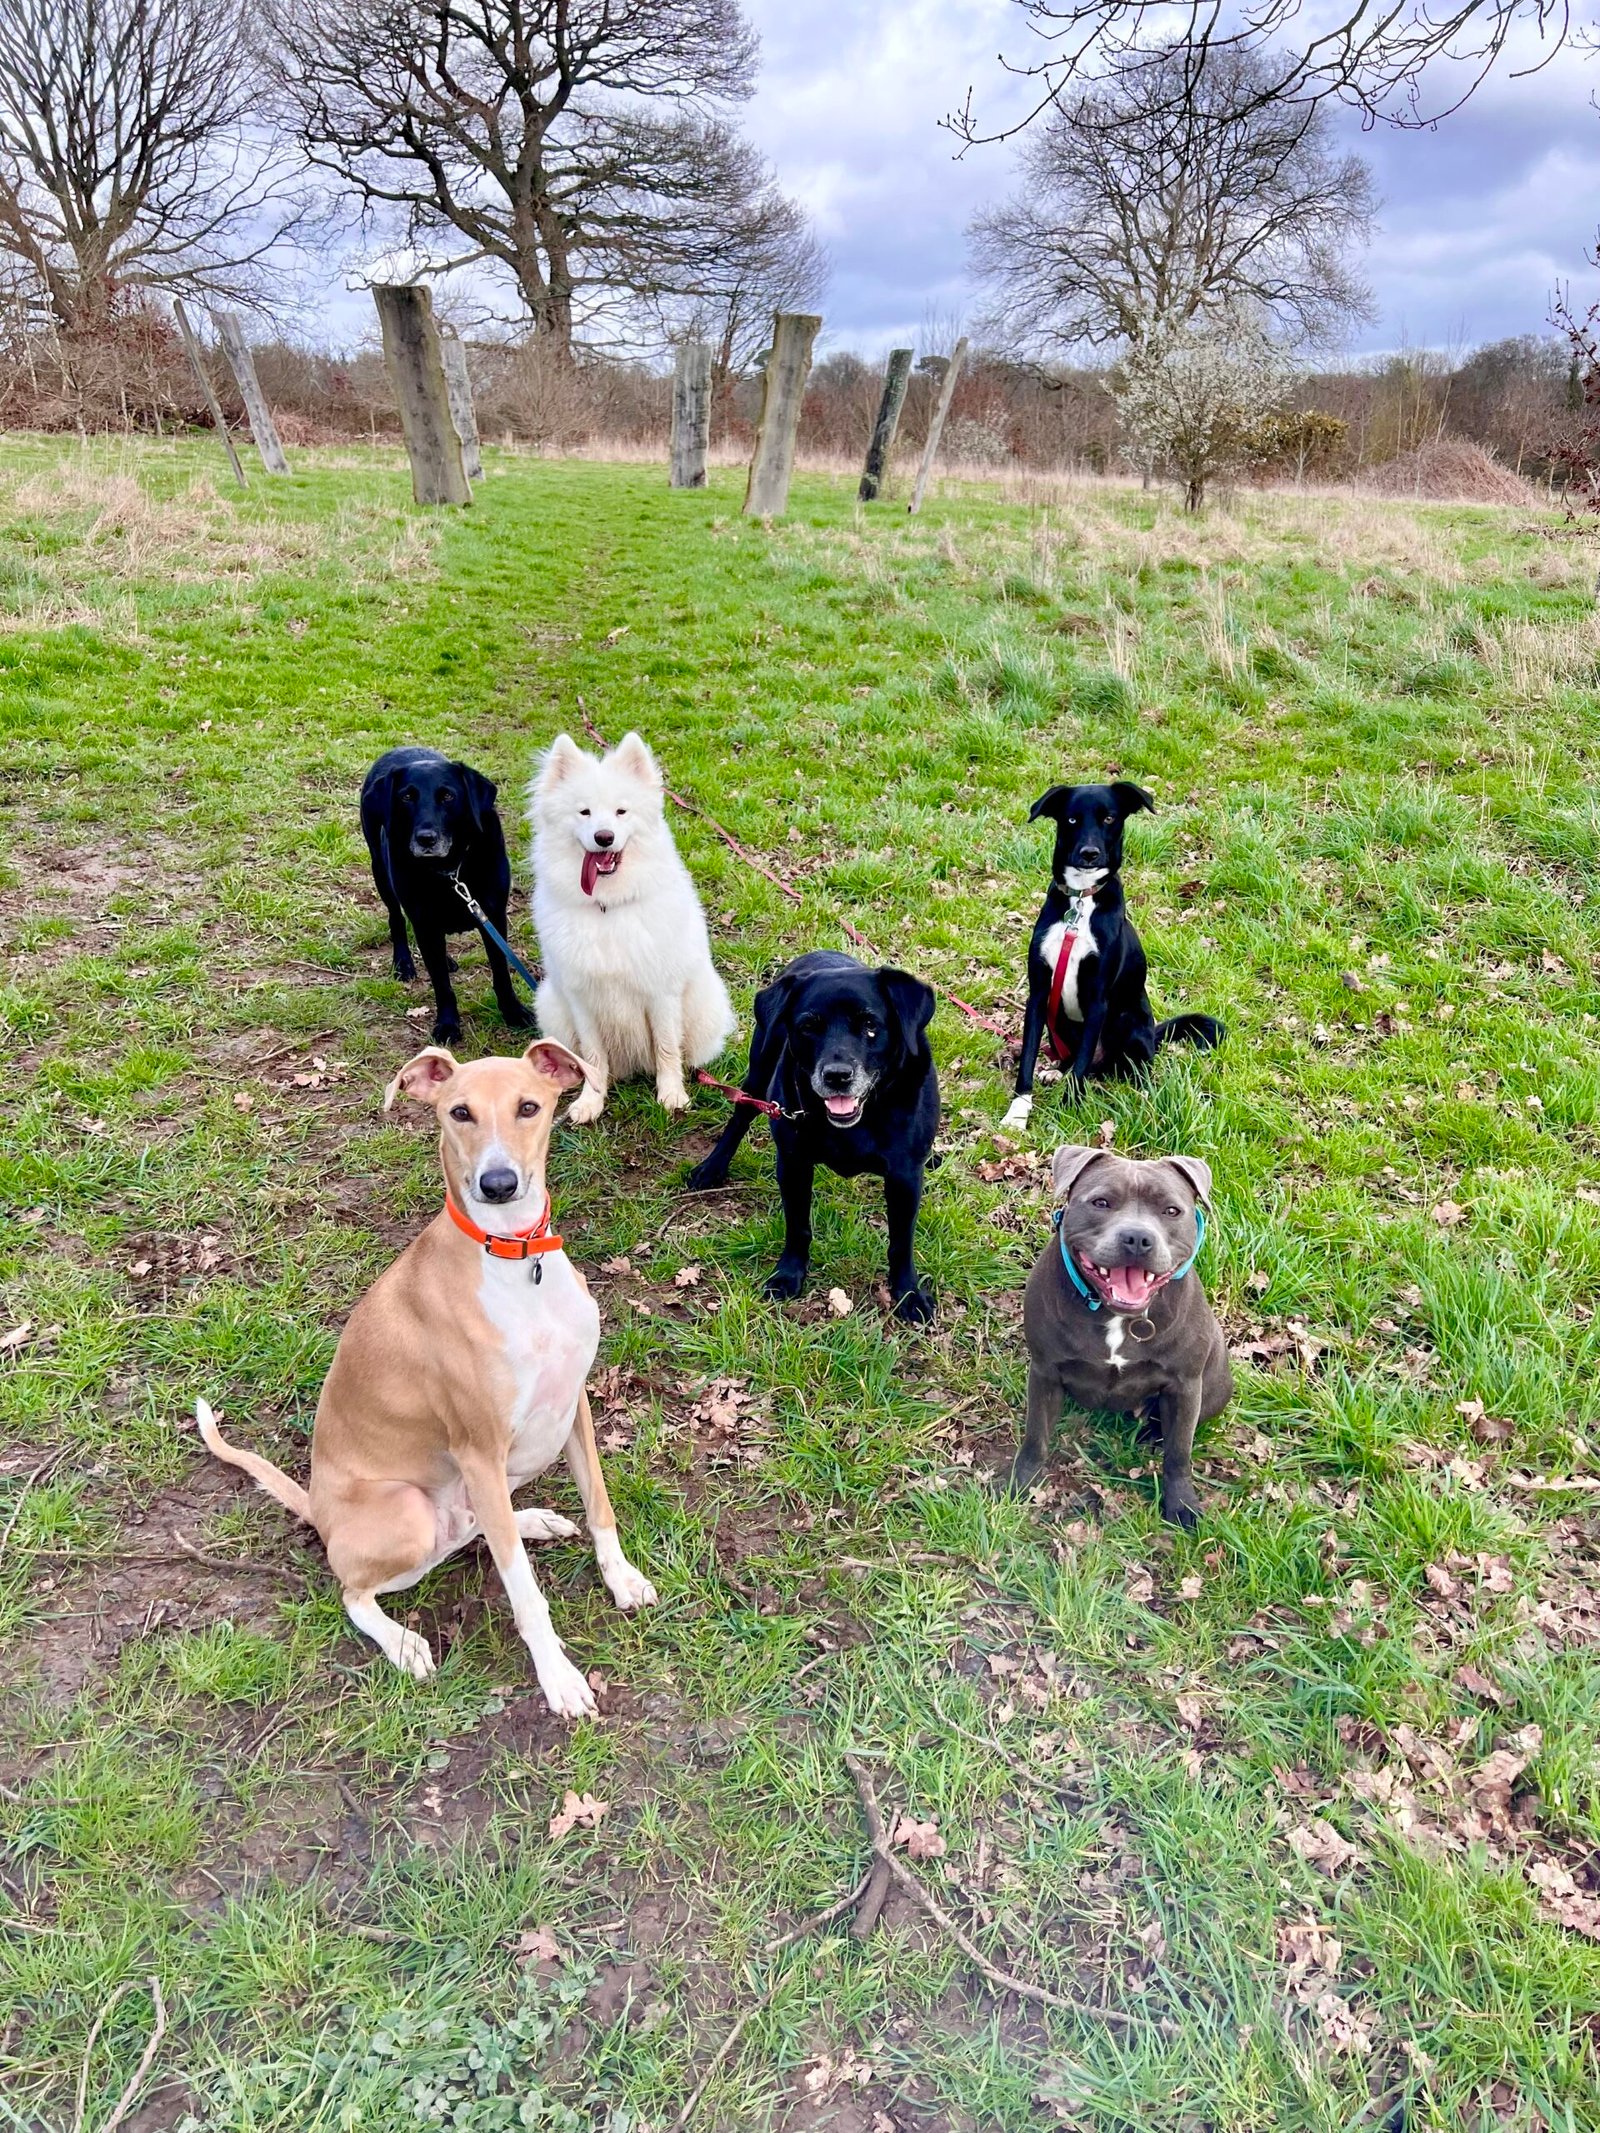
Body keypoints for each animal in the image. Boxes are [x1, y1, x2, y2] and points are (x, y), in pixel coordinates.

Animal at [197, 1040, 652, 1723]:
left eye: (529, 1107)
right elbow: (526, 1593)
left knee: (480, 1530)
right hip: (410, 1514)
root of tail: (318, 1510)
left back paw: (531, 1521)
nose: (498, 1184)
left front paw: (620, 1579)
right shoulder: (479, 1447)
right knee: (354, 1592)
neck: (515, 1259)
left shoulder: (572, 1405)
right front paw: (558, 1678)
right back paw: (402, 1643)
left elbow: (600, 1506)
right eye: (459, 1112)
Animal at [362, 750, 539, 1049]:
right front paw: (447, 1024)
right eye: (406, 797)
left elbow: (501, 972)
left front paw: (513, 1012)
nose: (426, 838)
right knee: (396, 918)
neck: (450, 869)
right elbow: (442, 985)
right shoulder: (425, 923)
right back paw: (403, 963)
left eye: (447, 796)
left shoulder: (493, 917)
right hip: (382, 873)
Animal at [529, 733, 738, 1126]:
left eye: (621, 812)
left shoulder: (661, 994)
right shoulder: (581, 999)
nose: (604, 837)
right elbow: (592, 1057)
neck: (608, 906)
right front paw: (591, 1101)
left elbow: (667, 1049)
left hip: (704, 1004)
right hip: (551, 1006)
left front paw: (672, 1096)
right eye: (584, 812)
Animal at [686, 959, 938, 1322]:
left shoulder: (904, 1178)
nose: (837, 1076)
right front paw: (788, 1274)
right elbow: (798, 1226)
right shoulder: (793, 1165)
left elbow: (901, 1242)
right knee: (740, 1117)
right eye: (808, 1026)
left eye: (870, 1024)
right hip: (760, 1070)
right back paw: (712, 1167)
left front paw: (908, 1293)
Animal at [1002, 772, 1228, 1134]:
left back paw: (1143, 1094)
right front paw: (1018, 1112)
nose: (1090, 853)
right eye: (1071, 819)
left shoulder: (1098, 999)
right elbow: (1027, 1058)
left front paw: (1069, 1109)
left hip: (1130, 1023)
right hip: (1058, 1020)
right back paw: (1056, 1070)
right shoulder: (1038, 995)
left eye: (1109, 818)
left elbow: (1081, 1066)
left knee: (1134, 1068)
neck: (1081, 901)